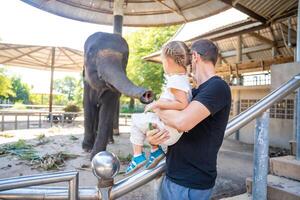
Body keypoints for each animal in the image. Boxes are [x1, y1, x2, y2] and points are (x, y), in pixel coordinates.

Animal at [81, 31, 154, 159]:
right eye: (90, 54)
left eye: (125, 58)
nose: (147, 93)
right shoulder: (87, 84)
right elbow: (88, 108)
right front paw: (86, 148)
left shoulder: (113, 92)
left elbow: (107, 111)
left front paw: (96, 154)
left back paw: (110, 141)